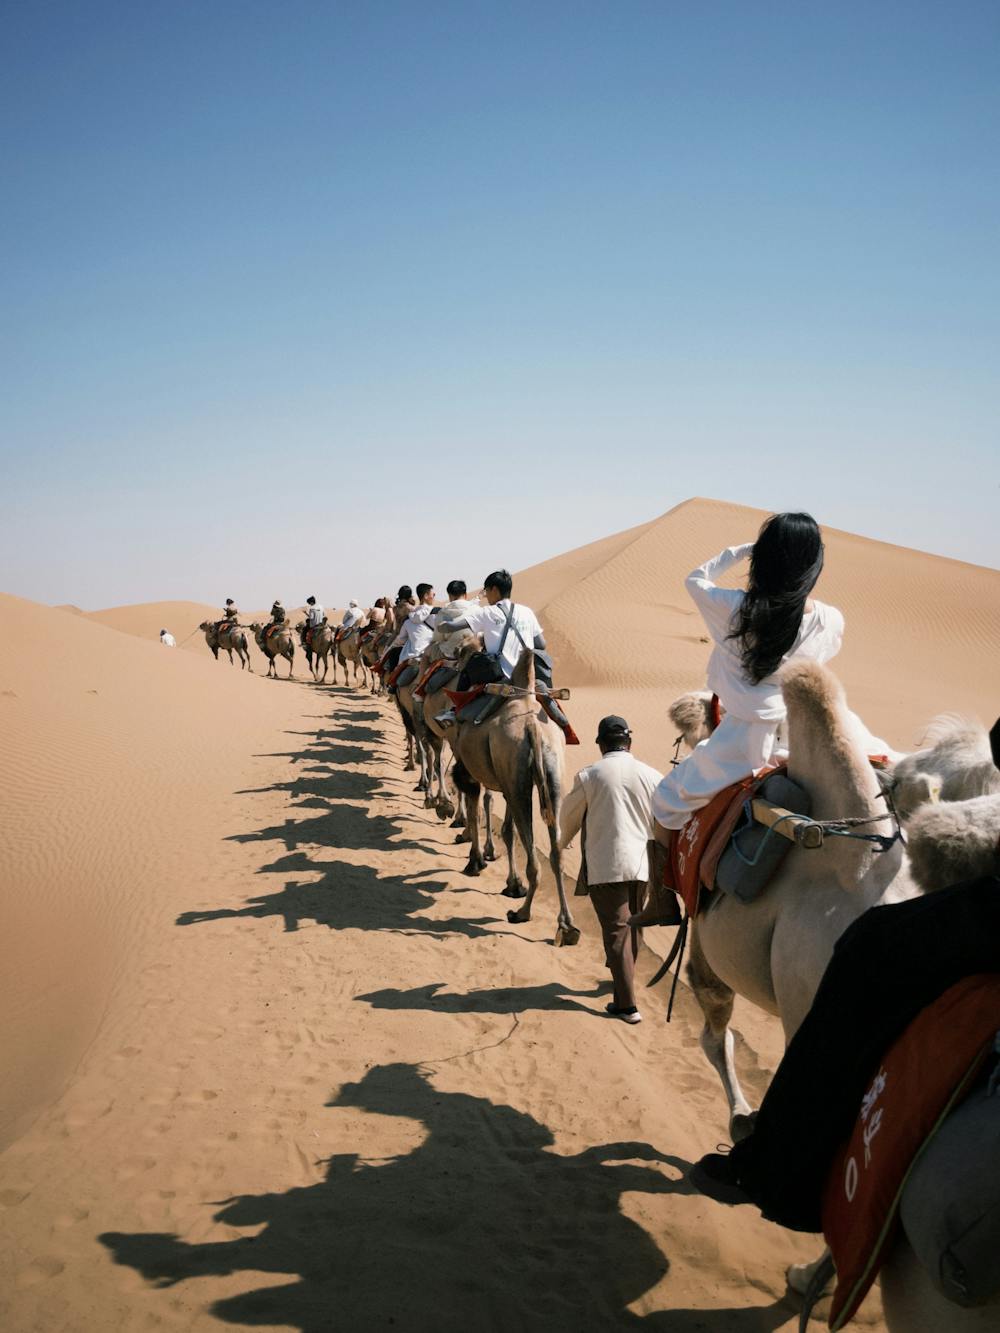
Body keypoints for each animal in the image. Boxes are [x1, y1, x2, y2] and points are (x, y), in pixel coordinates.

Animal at [445, 645, 578, 949]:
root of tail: (532, 728)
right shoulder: (507, 779)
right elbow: (506, 830)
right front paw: (511, 883)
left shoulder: (469, 773)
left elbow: (476, 813)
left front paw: (475, 861)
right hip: (550, 775)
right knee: (555, 850)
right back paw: (566, 926)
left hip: (516, 774)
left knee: (533, 856)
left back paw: (522, 913)